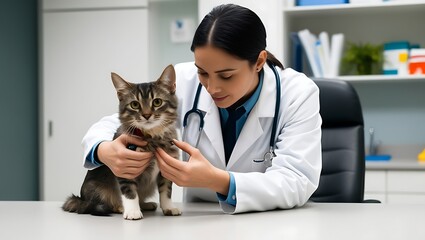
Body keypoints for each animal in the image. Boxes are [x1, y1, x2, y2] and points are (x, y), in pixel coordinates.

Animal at [62, 64, 181, 219]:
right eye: (135, 104)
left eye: (157, 102)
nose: (146, 115)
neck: (152, 138)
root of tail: (81, 199)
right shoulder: (126, 167)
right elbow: (130, 192)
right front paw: (132, 211)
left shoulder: (166, 169)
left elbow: (166, 191)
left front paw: (168, 207)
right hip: (96, 189)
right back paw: (120, 207)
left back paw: (146, 204)